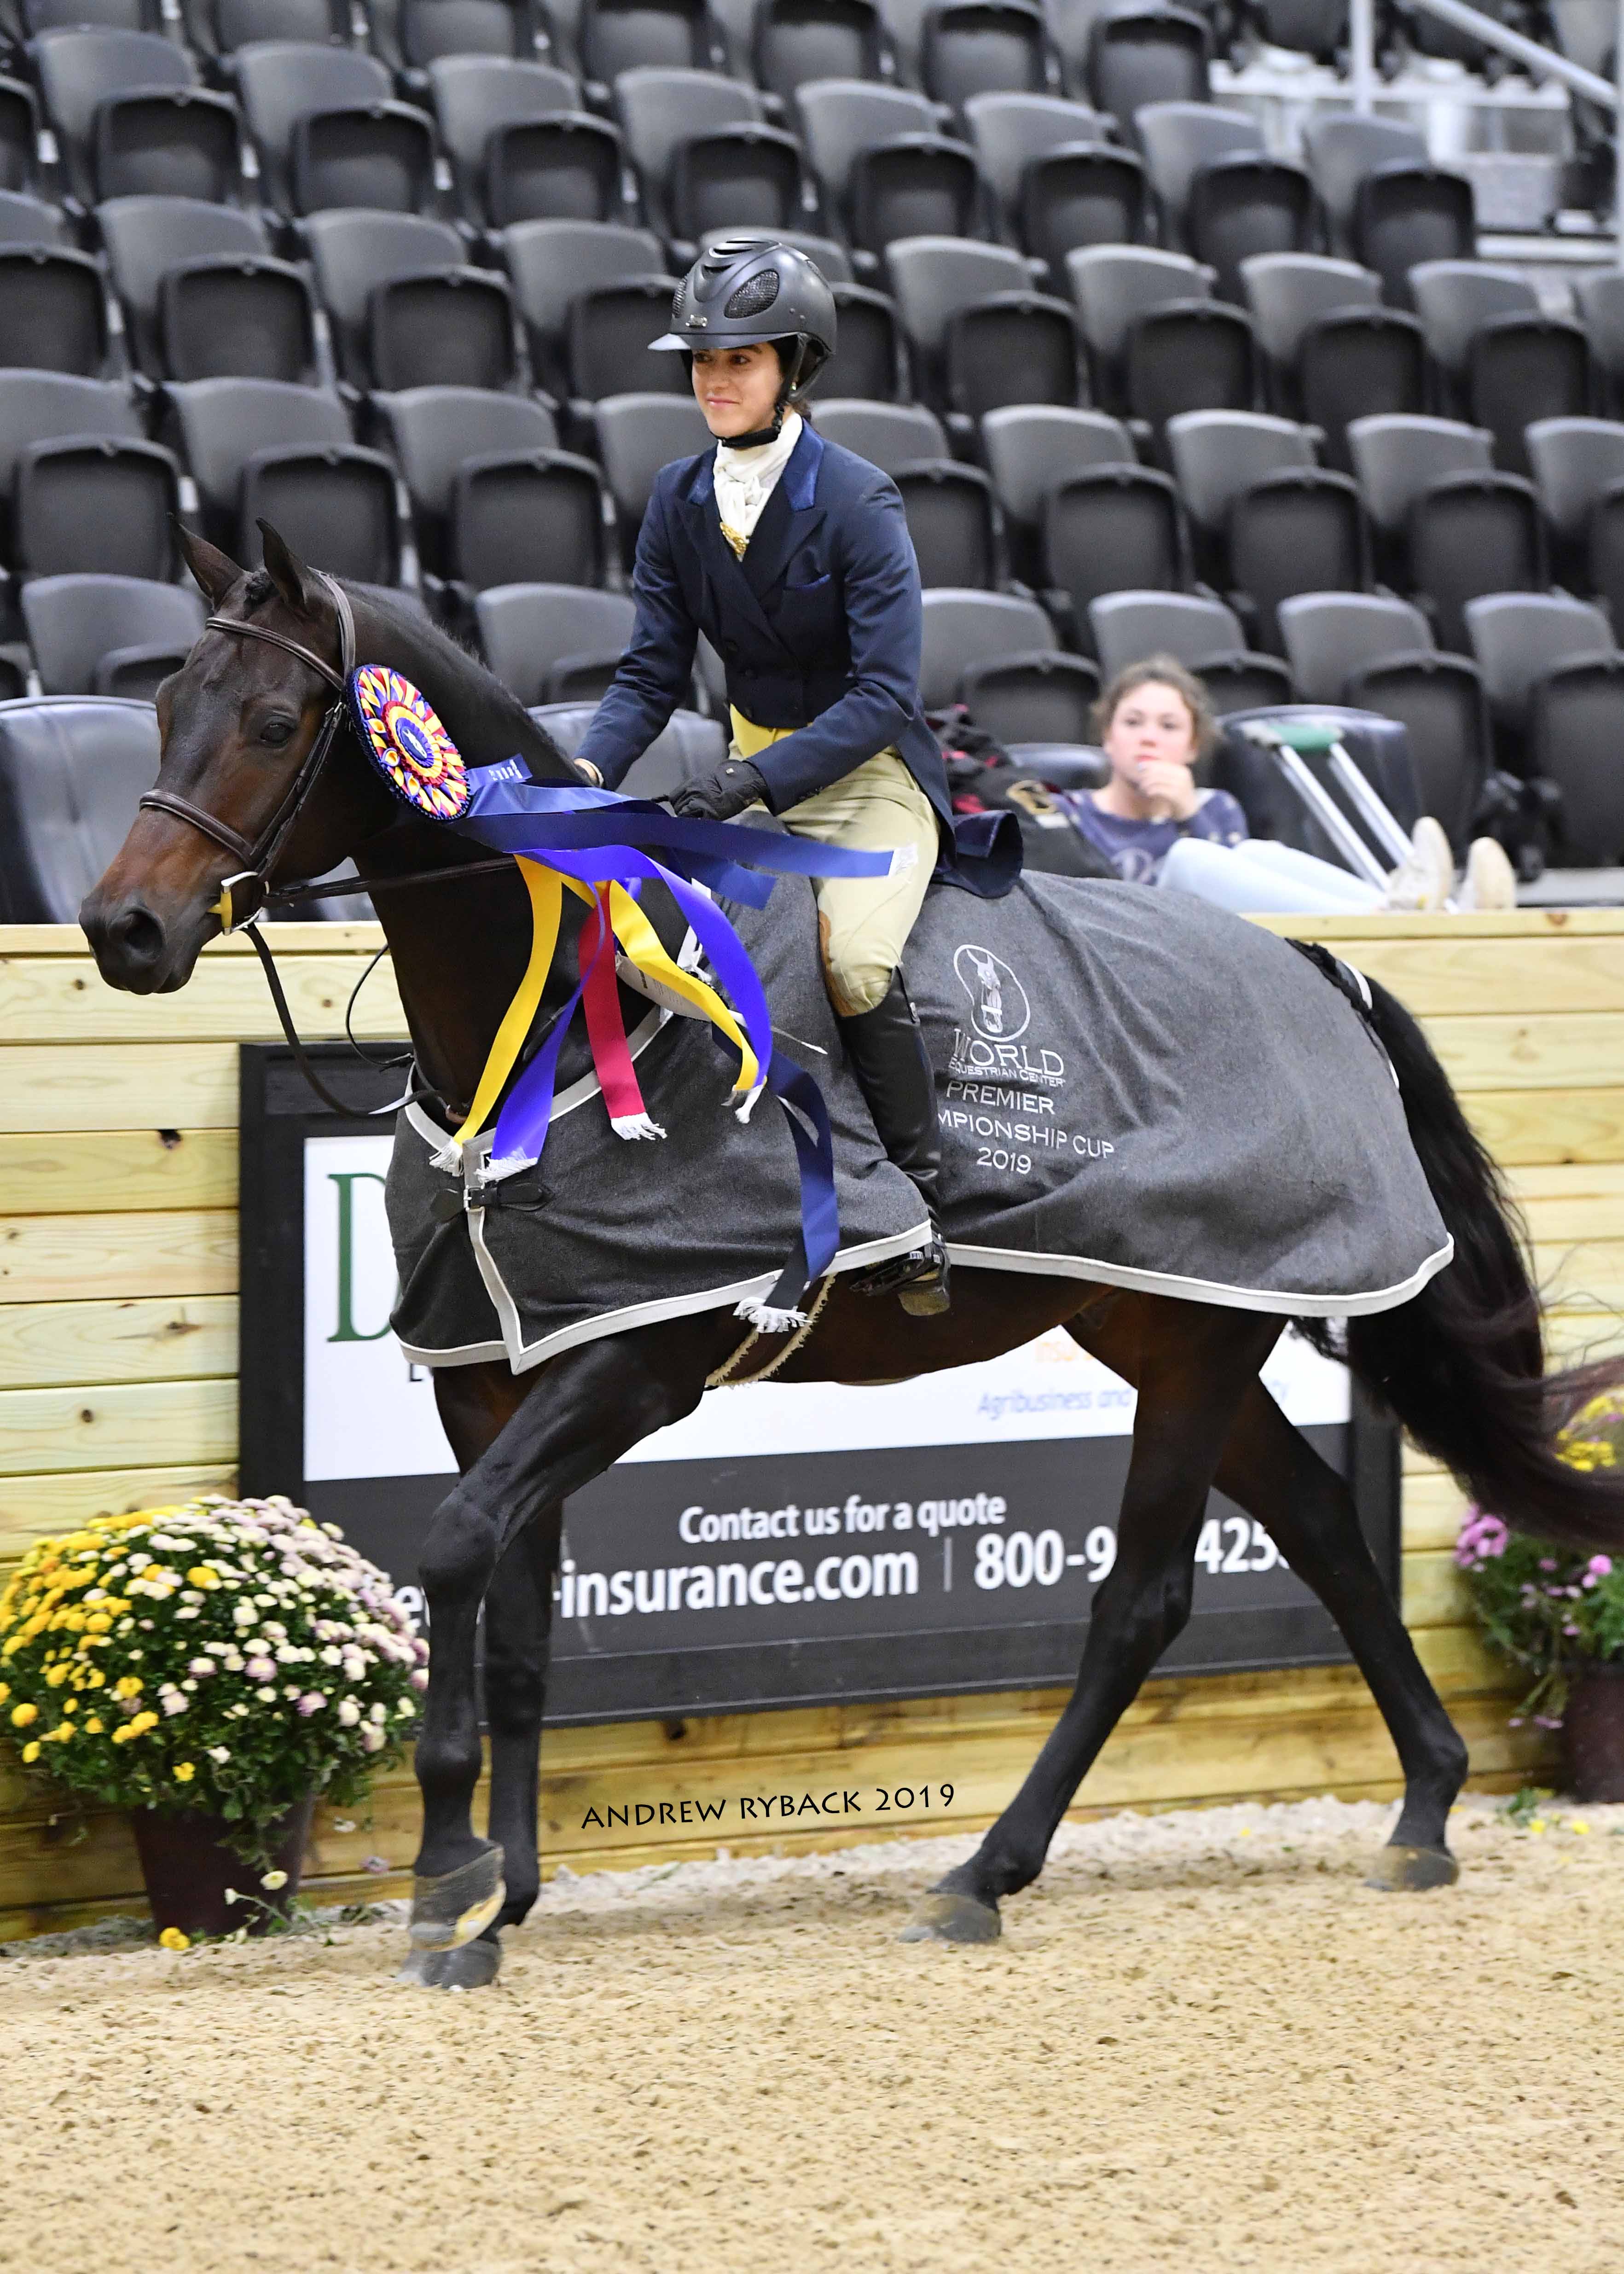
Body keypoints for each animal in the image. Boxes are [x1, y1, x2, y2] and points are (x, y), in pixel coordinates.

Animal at [79, 523, 1619, 1983]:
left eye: (276, 720)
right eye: (161, 706)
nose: (121, 929)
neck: (572, 1017)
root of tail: (1317, 966)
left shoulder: (639, 1364)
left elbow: (457, 1547)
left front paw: (452, 1879)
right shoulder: (497, 1377)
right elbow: (509, 1620)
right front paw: (493, 1896)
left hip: (1196, 1343)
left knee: (1146, 1596)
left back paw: (984, 1874)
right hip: (1168, 1315)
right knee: (1323, 1528)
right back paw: (1423, 1809)